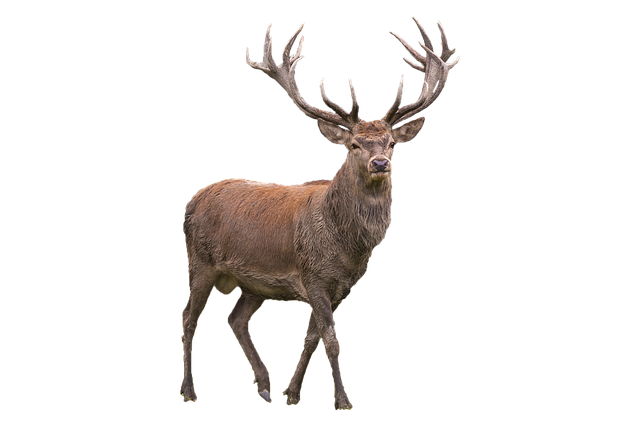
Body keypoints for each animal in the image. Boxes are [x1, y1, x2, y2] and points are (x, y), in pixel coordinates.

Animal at [179, 16, 460, 411]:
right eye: (354, 144)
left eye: (391, 143)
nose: (379, 163)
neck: (346, 246)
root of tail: (192, 201)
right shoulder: (312, 275)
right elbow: (330, 337)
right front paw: (343, 400)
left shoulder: (341, 284)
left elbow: (312, 336)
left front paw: (292, 393)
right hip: (200, 263)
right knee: (188, 318)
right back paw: (190, 391)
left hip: (253, 283)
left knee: (235, 319)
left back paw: (265, 386)